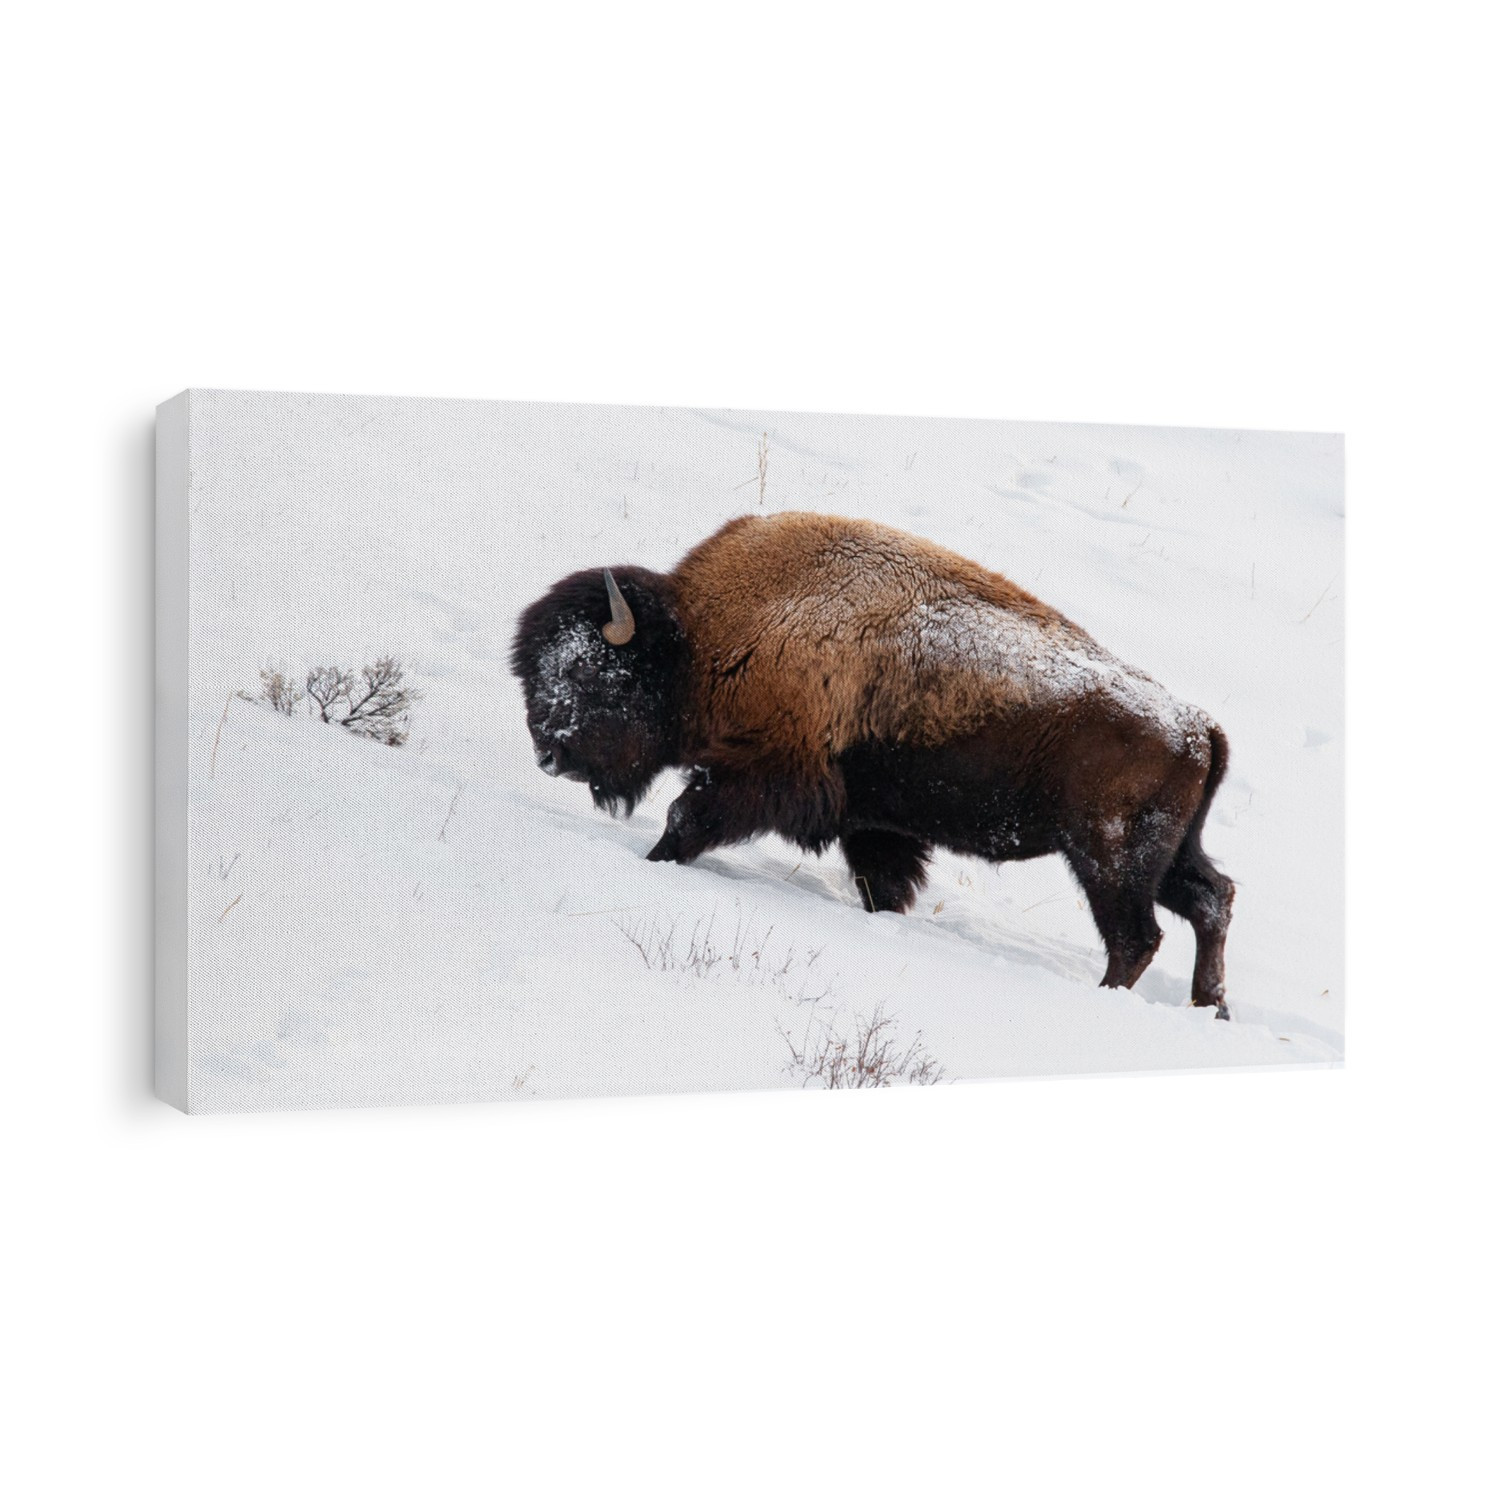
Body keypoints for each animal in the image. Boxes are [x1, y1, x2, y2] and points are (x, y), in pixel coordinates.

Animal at [511, 512, 1235, 1016]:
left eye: (585, 670)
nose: (548, 753)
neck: (703, 636)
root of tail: (1200, 727)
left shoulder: (766, 773)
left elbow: (686, 816)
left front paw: (655, 863)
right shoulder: (872, 823)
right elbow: (882, 884)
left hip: (1108, 859)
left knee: (1138, 936)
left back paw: (1113, 997)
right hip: (1164, 857)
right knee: (1212, 902)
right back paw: (1212, 1009)